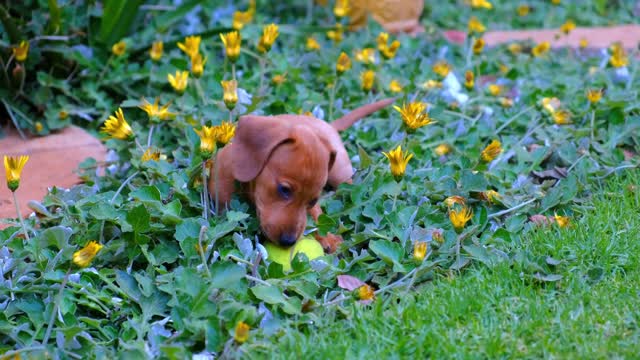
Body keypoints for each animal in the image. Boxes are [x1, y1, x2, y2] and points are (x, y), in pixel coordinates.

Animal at [210, 98, 392, 253]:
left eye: (313, 200)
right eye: (284, 189)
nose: (288, 242)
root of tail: (326, 125)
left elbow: (317, 215)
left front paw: (328, 238)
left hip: (340, 172)